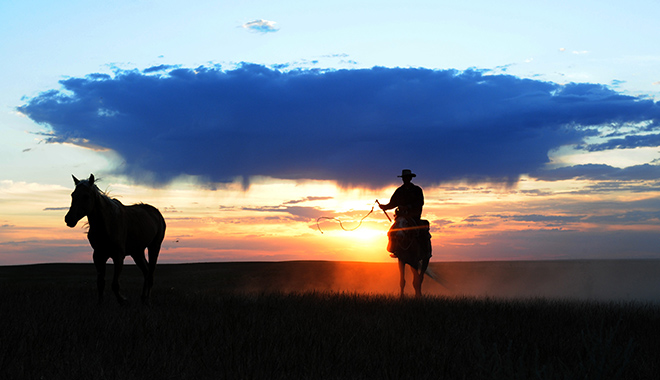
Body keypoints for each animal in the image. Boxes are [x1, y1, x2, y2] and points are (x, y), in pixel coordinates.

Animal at [65, 174, 166, 304]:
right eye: (73, 195)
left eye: (86, 196)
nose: (69, 219)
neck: (107, 224)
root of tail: (156, 213)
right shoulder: (98, 256)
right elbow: (100, 283)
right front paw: (100, 303)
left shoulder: (118, 256)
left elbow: (114, 285)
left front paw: (123, 301)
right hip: (137, 252)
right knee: (146, 271)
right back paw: (143, 298)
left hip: (154, 246)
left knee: (151, 274)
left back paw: (147, 299)